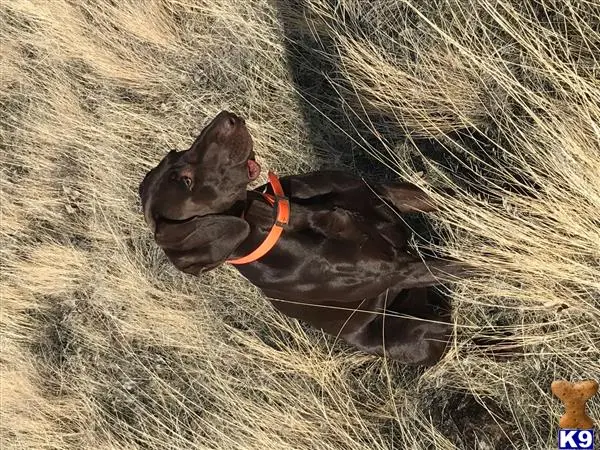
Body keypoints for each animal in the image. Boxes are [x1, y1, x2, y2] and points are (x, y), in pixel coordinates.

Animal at [141, 110, 468, 366]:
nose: (227, 117)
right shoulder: (401, 269)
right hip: (420, 331)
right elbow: (468, 267)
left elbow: (455, 201)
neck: (288, 217)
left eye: (176, 153)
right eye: (186, 180)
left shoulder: (387, 193)